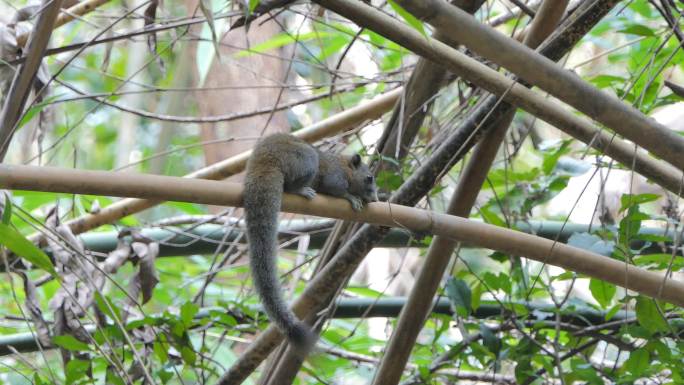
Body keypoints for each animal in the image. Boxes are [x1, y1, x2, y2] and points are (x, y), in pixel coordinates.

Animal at [242, 133, 380, 352]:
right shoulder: (335, 177)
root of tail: (262, 160)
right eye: (369, 178)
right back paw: (301, 190)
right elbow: (337, 190)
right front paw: (352, 197)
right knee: (291, 185)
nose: (375, 199)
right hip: (306, 160)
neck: (346, 167)